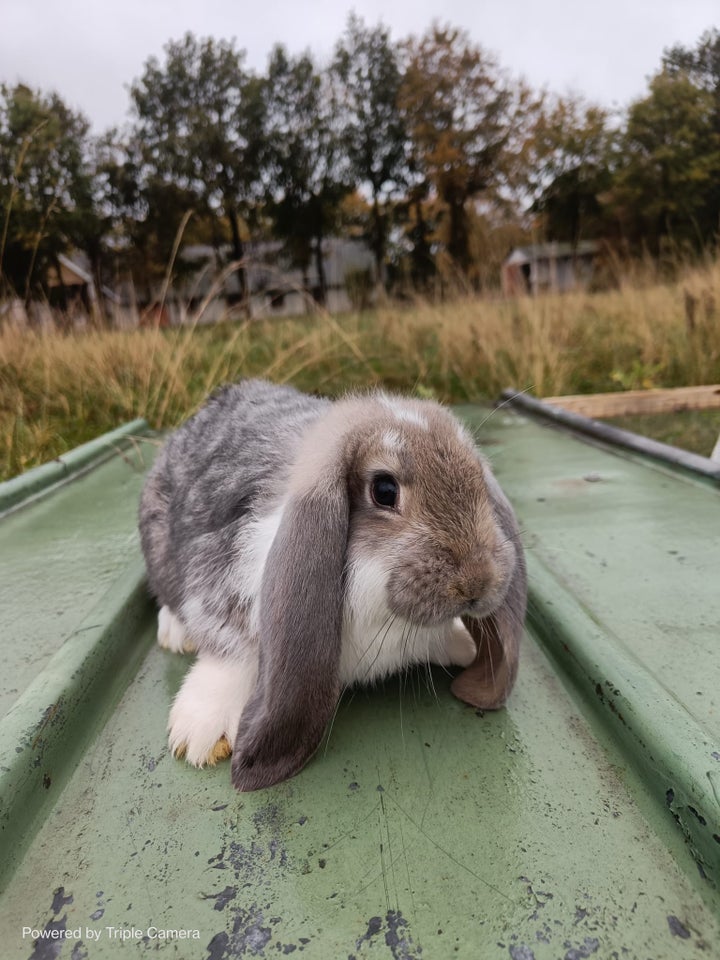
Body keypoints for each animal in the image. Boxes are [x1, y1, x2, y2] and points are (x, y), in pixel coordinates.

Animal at [138, 378, 524, 792]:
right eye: (384, 490)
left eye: (478, 477)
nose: (478, 581)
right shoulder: (220, 582)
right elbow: (232, 654)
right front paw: (201, 730)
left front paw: (463, 645)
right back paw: (176, 633)